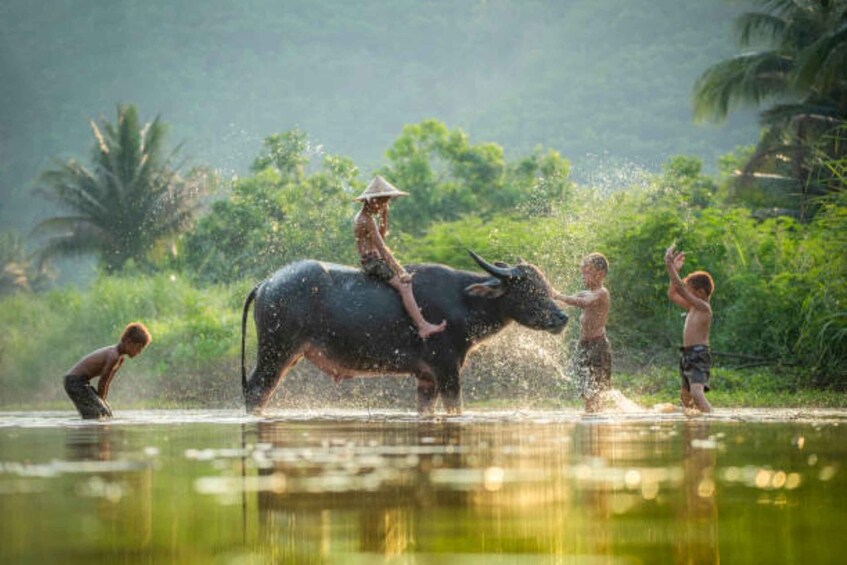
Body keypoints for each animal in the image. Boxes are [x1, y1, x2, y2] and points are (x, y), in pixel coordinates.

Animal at [240, 251, 568, 414]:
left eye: (545, 286)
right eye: (529, 290)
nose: (561, 317)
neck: (463, 301)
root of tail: (266, 283)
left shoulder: (426, 377)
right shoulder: (447, 368)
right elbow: (455, 407)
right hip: (275, 352)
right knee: (257, 391)